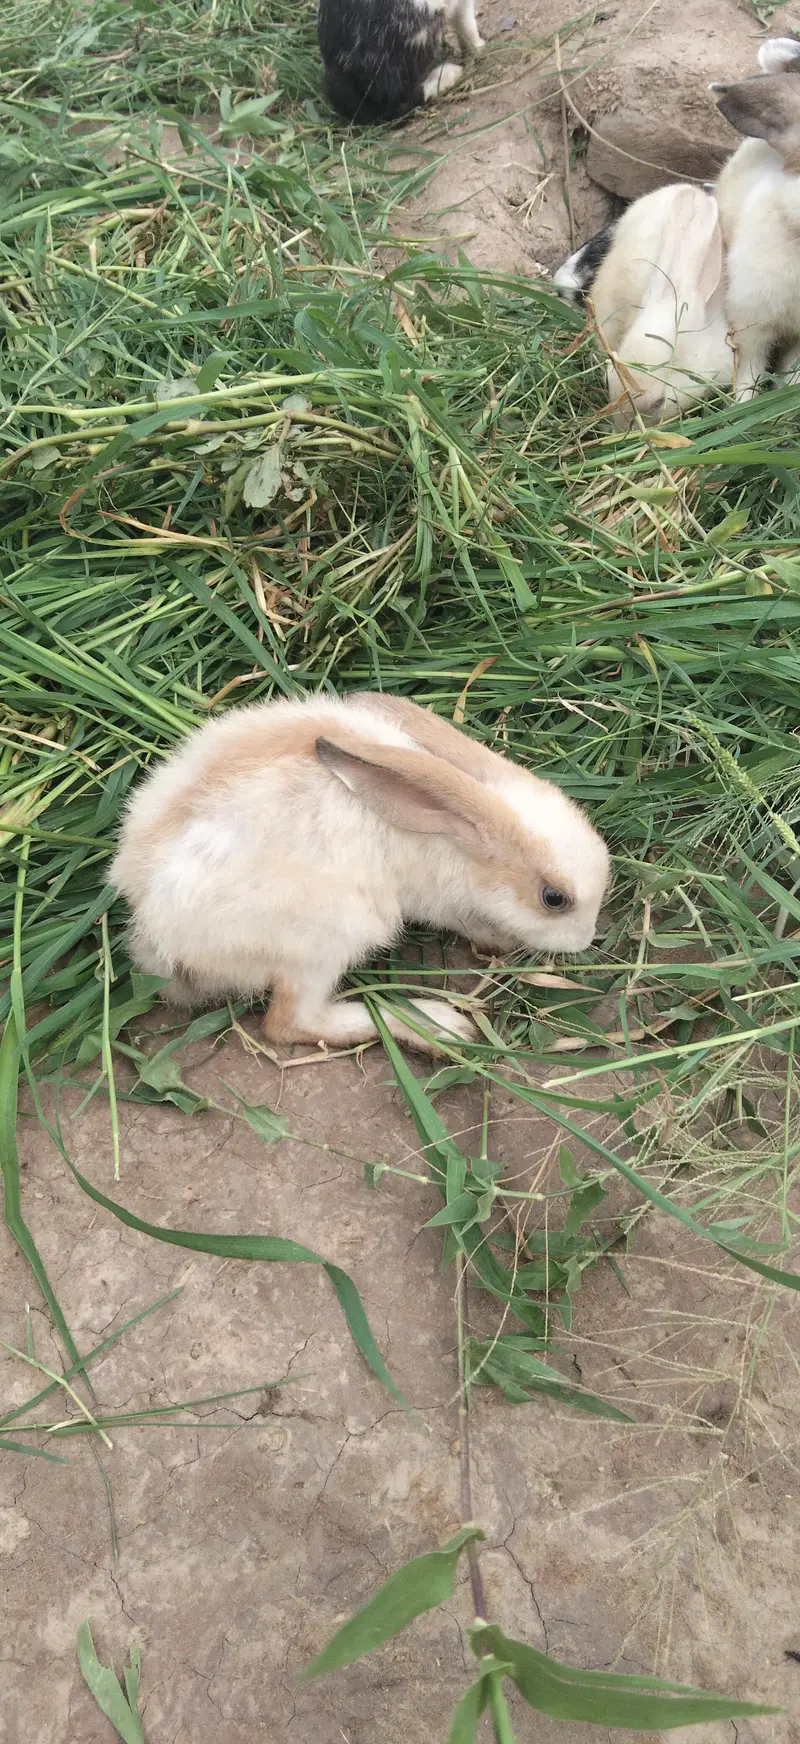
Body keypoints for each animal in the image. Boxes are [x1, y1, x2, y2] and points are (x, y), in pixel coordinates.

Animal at [110, 691, 610, 1056]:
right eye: (554, 898)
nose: (585, 940)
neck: (451, 839)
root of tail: (158, 936)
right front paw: (499, 942)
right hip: (326, 941)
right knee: (289, 1024)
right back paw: (441, 1026)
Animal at [316, 0, 484, 124]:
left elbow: (463, 26)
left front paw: (478, 49)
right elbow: (467, 22)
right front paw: (482, 48)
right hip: (423, 25)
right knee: (404, 103)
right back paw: (448, 74)